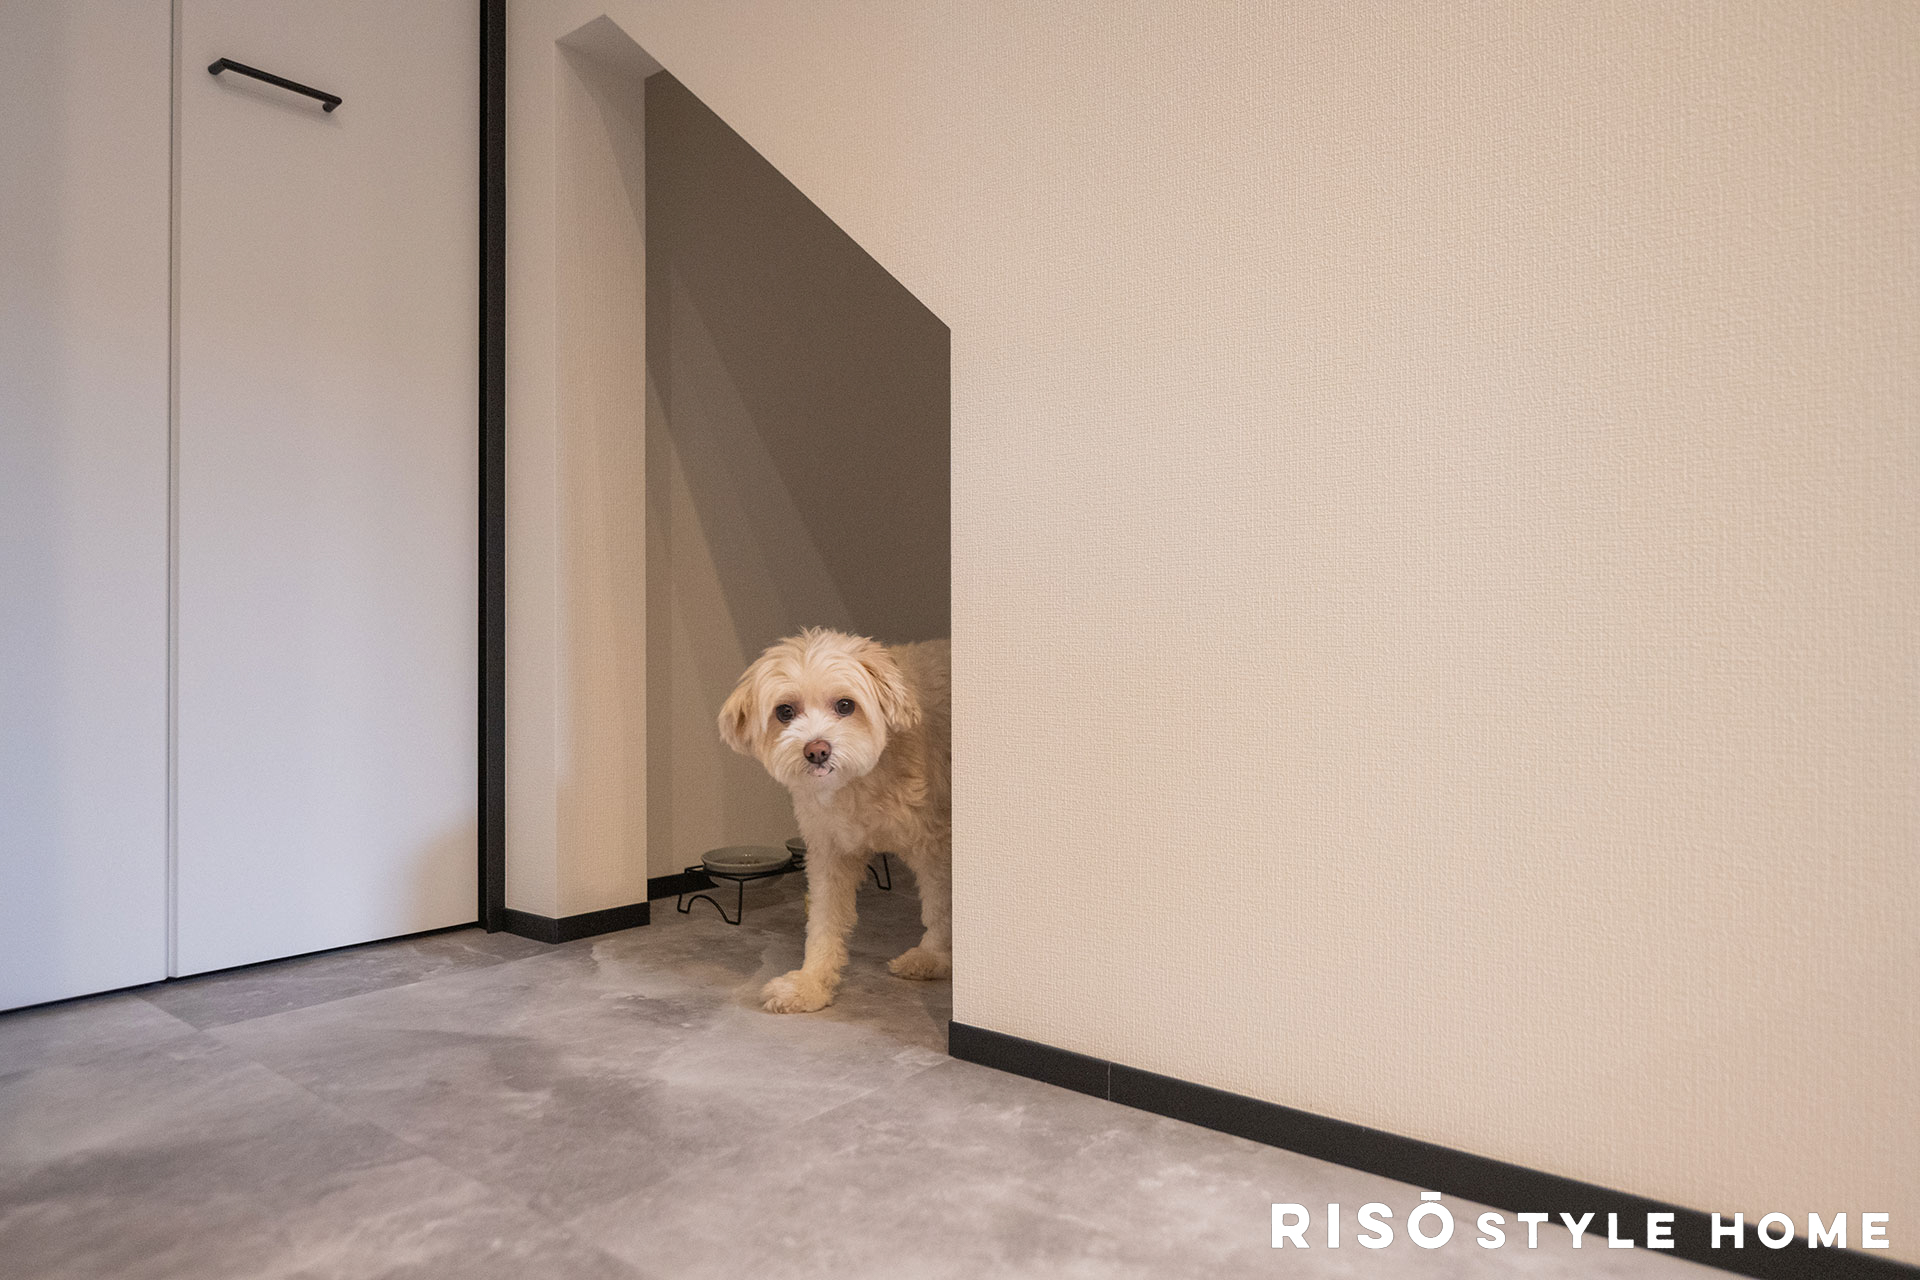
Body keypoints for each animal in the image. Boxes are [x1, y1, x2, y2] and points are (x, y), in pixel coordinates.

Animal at [718, 629, 951, 1013]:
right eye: (785, 711)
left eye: (845, 705)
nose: (816, 751)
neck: (866, 776)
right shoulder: (830, 851)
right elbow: (823, 921)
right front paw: (810, 983)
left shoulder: (935, 847)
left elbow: (939, 908)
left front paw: (933, 958)